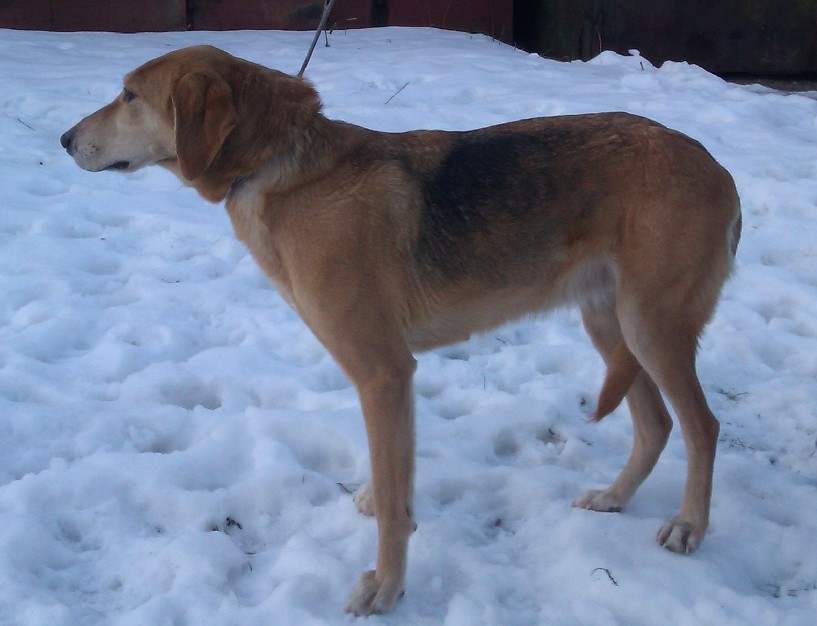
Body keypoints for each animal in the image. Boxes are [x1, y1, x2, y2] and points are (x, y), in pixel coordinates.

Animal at [60, 46, 744, 612]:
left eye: (129, 95)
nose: (64, 139)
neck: (280, 164)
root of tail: (719, 168)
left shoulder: (383, 372)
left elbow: (393, 503)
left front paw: (385, 589)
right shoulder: (390, 380)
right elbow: (396, 481)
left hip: (650, 327)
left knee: (701, 427)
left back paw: (690, 524)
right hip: (610, 324)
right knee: (655, 426)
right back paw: (615, 497)